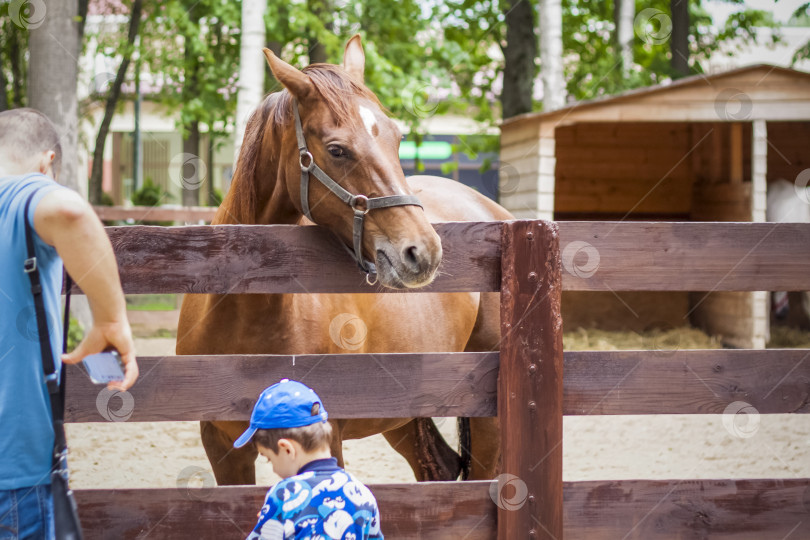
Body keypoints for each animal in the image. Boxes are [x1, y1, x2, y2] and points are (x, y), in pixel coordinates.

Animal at [176, 37, 512, 486]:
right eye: (337, 150)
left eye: (397, 139)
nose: (423, 251)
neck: (244, 316)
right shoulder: (222, 447)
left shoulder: (326, 437)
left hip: (485, 415)